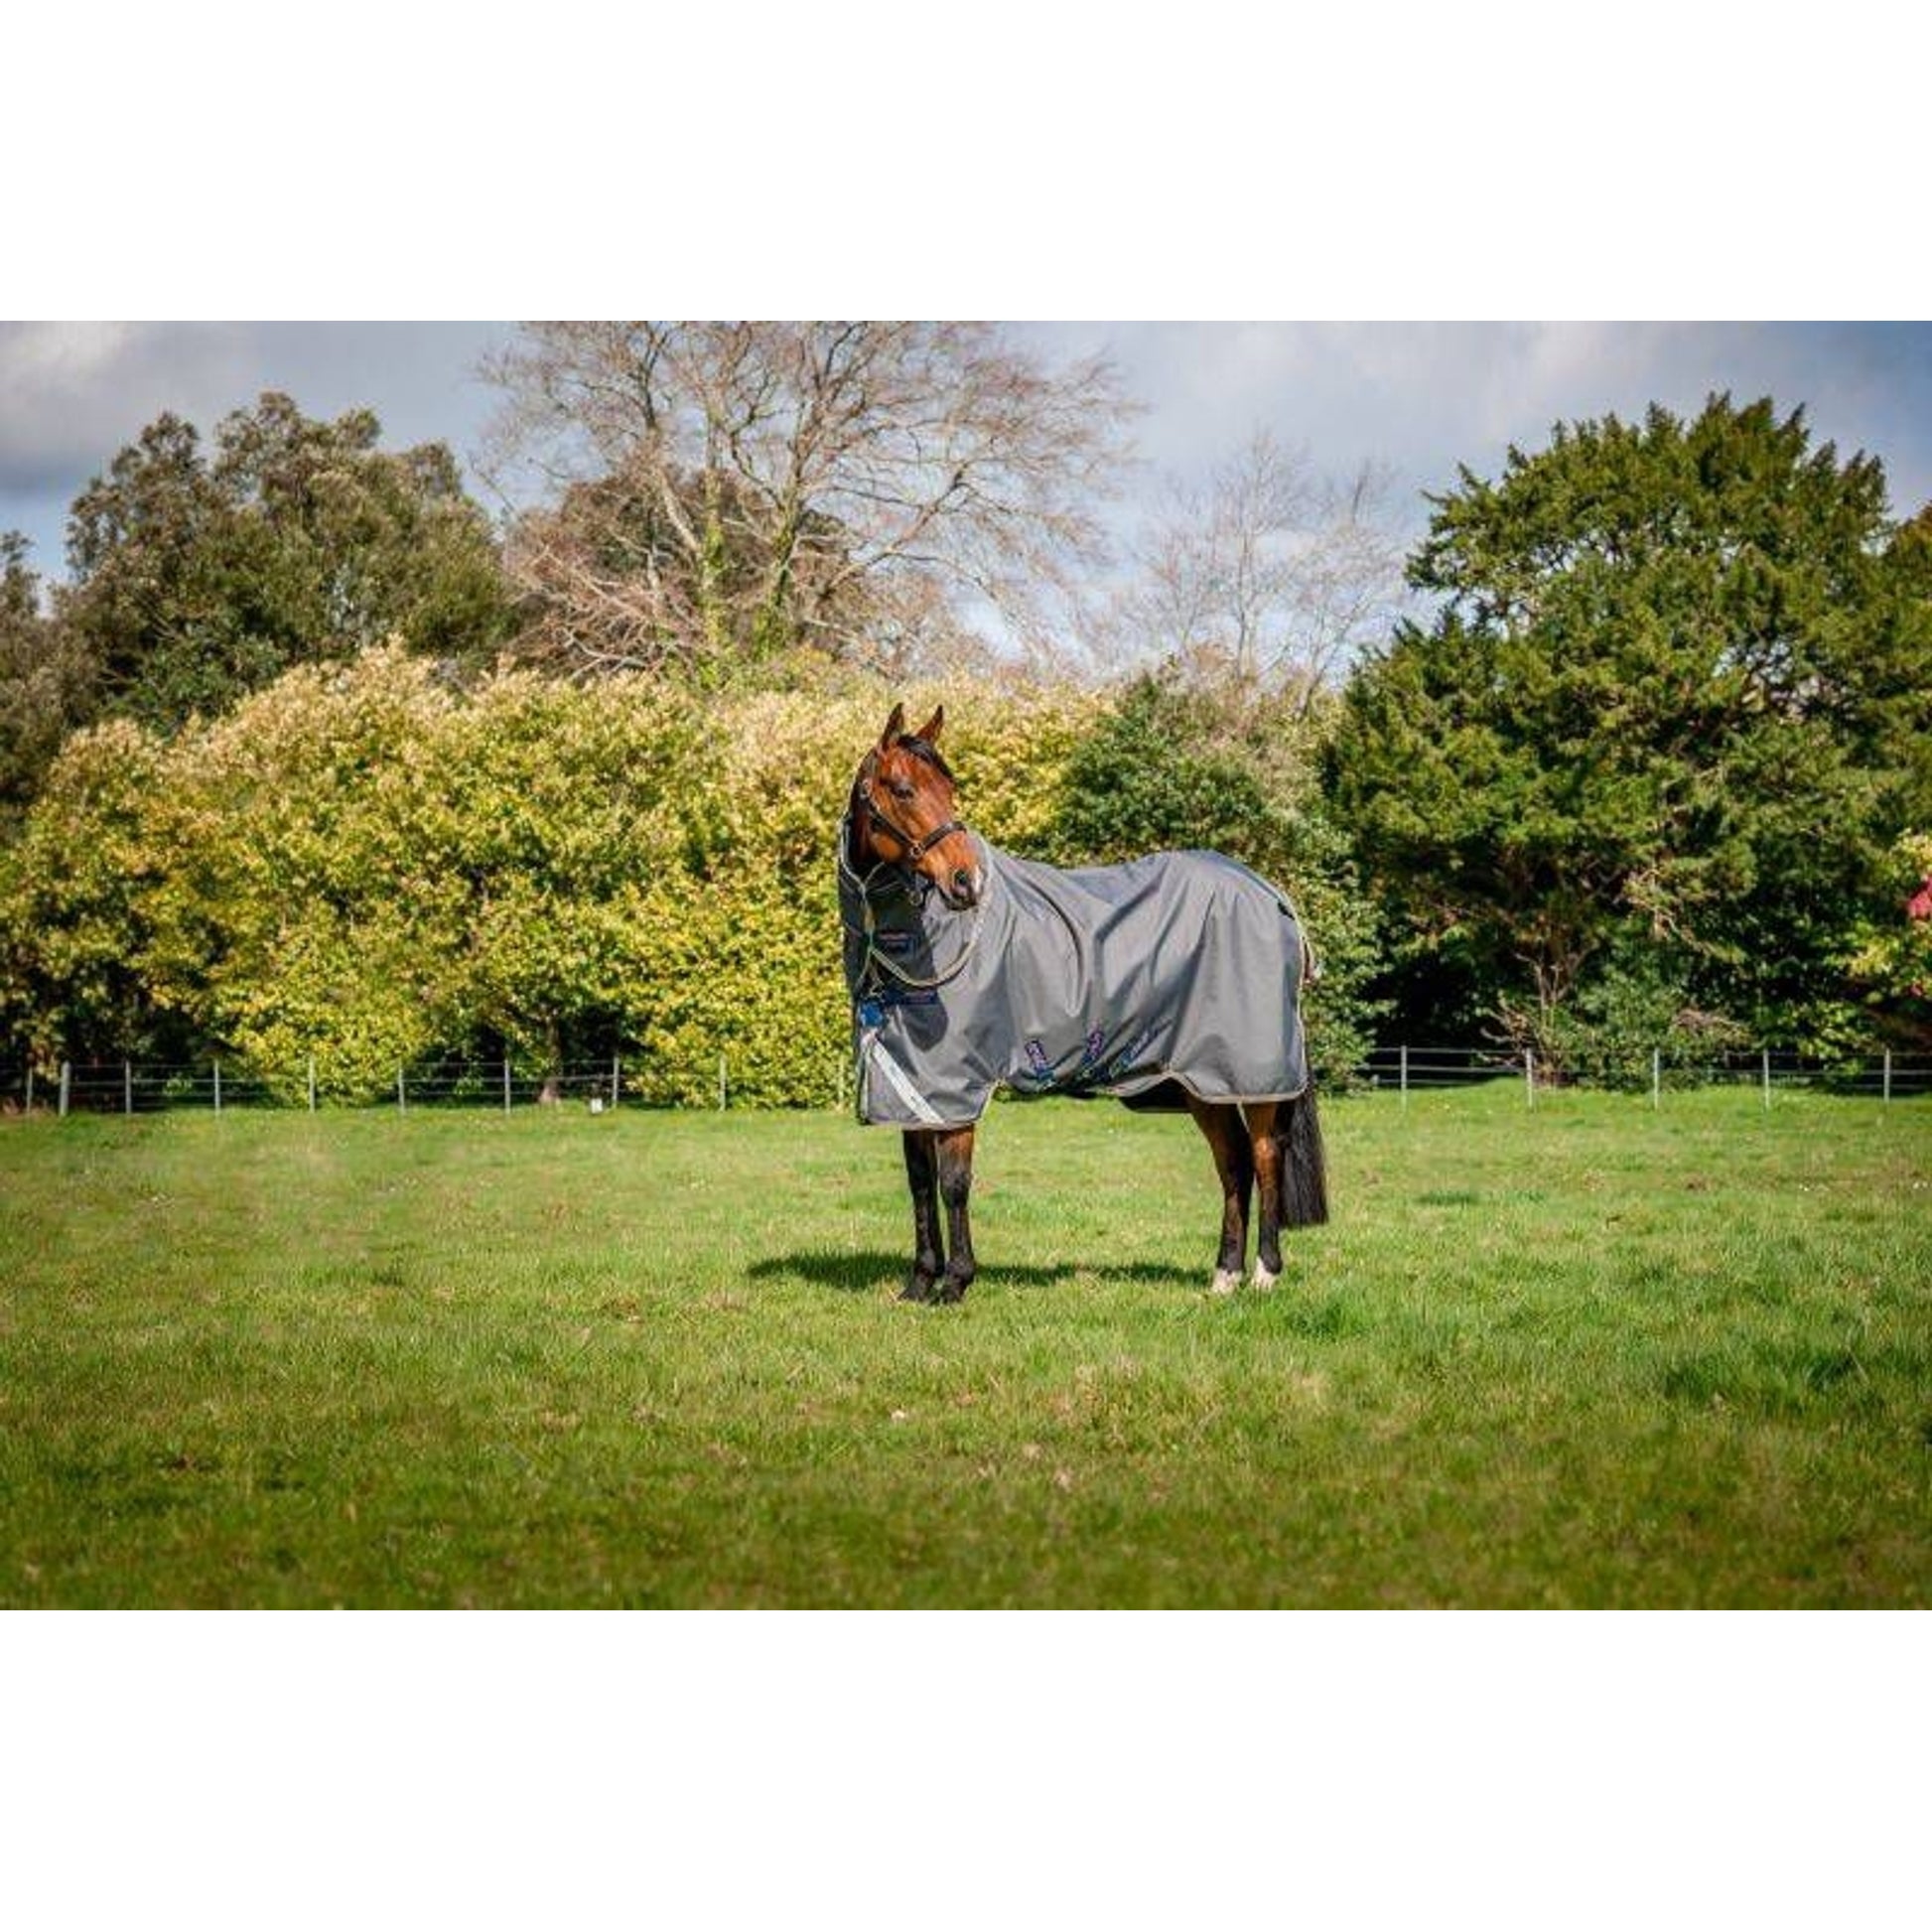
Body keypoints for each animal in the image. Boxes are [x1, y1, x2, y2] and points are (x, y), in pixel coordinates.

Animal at [838, 702, 1328, 1303]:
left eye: (950, 789)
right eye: (905, 789)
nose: (965, 882)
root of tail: (1271, 895)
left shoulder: (957, 1087)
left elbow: (953, 1183)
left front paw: (955, 1283)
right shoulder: (917, 1088)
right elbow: (919, 1183)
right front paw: (918, 1284)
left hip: (1254, 1077)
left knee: (1263, 1157)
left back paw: (1263, 1273)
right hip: (1204, 1081)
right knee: (1232, 1164)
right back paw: (1224, 1276)